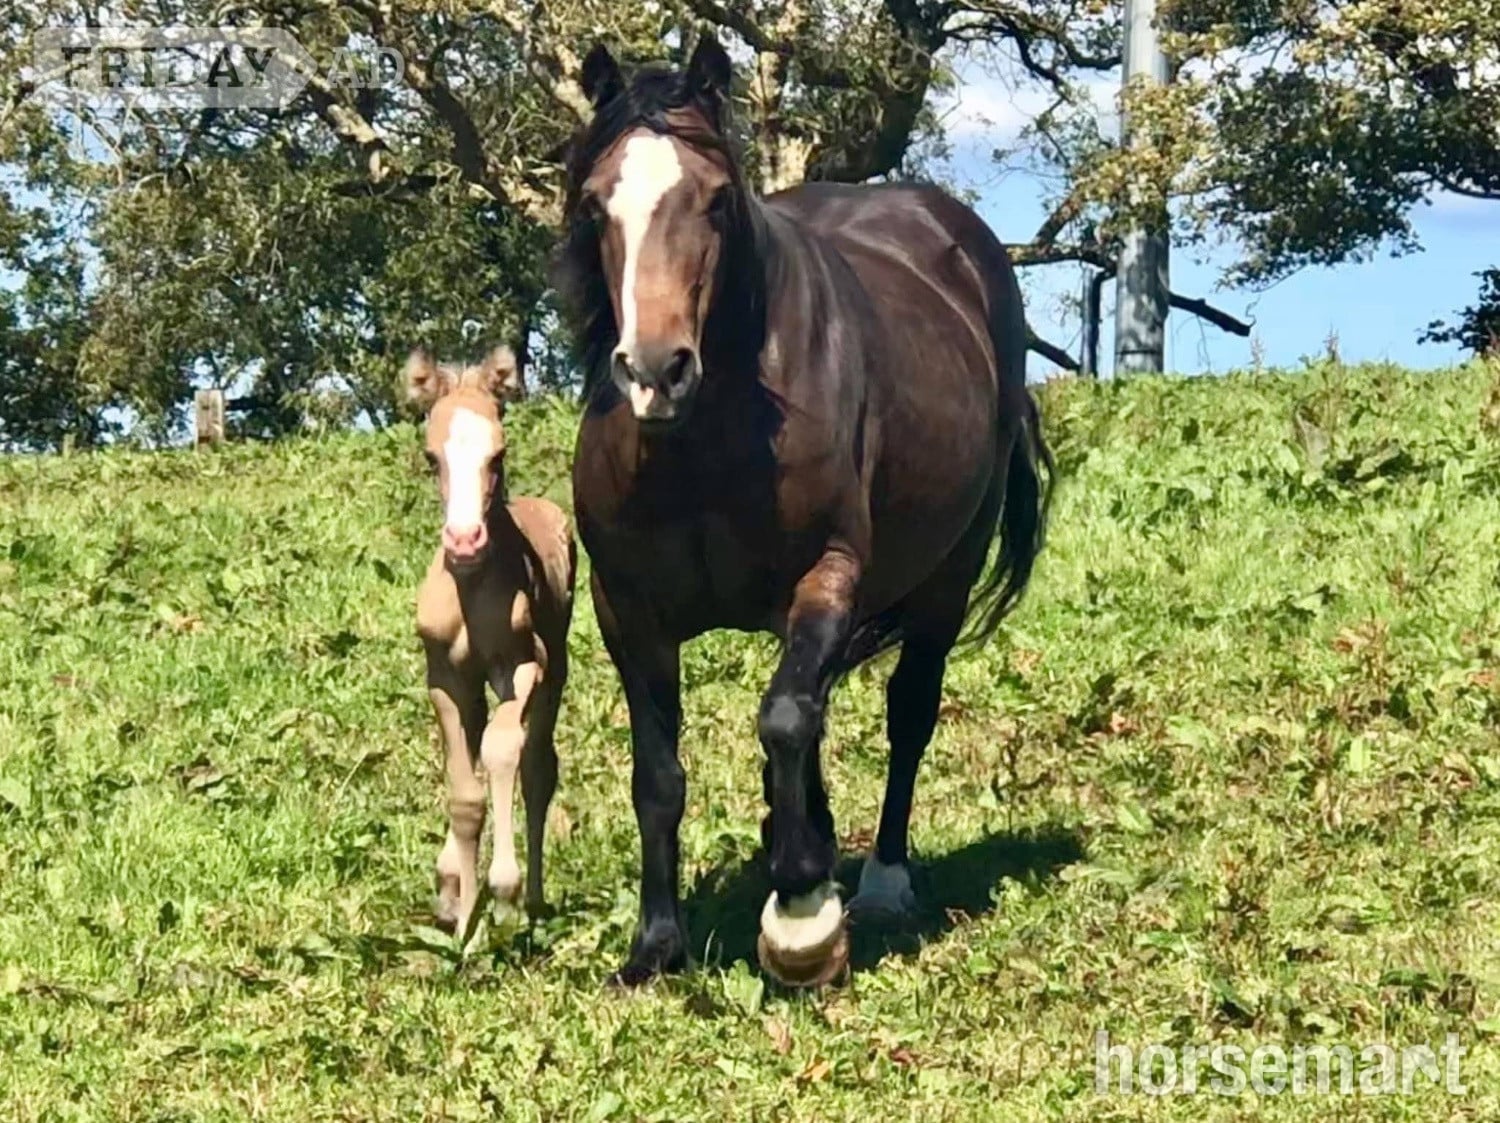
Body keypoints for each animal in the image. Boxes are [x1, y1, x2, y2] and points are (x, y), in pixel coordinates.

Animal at [406, 346, 576, 940]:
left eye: (497, 454)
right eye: (431, 458)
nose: (463, 541)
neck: (471, 587)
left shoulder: (525, 665)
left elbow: (503, 751)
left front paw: (503, 892)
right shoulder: (444, 677)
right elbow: (463, 793)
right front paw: (463, 921)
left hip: (556, 669)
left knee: (538, 766)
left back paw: (534, 901)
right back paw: (450, 882)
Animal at [555, 36, 1053, 987]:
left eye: (716, 198)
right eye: (597, 203)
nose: (656, 371)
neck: (705, 448)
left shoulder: (830, 571)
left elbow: (785, 717)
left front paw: (799, 913)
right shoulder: (627, 608)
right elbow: (659, 775)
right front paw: (656, 945)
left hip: (947, 575)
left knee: (904, 710)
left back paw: (878, 880)